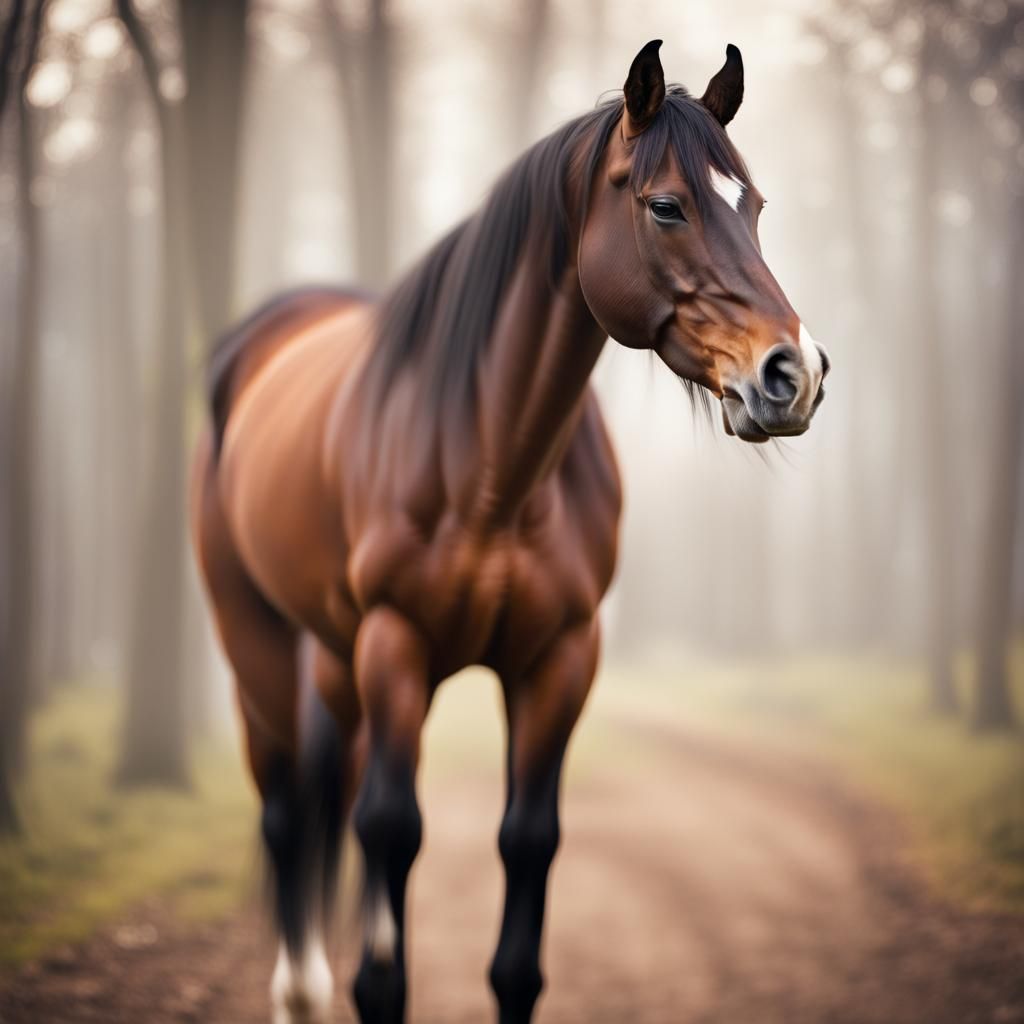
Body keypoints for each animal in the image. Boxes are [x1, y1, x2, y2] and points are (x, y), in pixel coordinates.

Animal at [191, 40, 829, 1024]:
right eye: (668, 205)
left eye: (753, 206)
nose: (793, 374)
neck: (490, 465)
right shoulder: (396, 646)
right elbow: (391, 836)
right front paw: (374, 982)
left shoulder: (559, 658)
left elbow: (526, 846)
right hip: (258, 645)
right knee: (290, 811)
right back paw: (299, 990)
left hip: (335, 659)